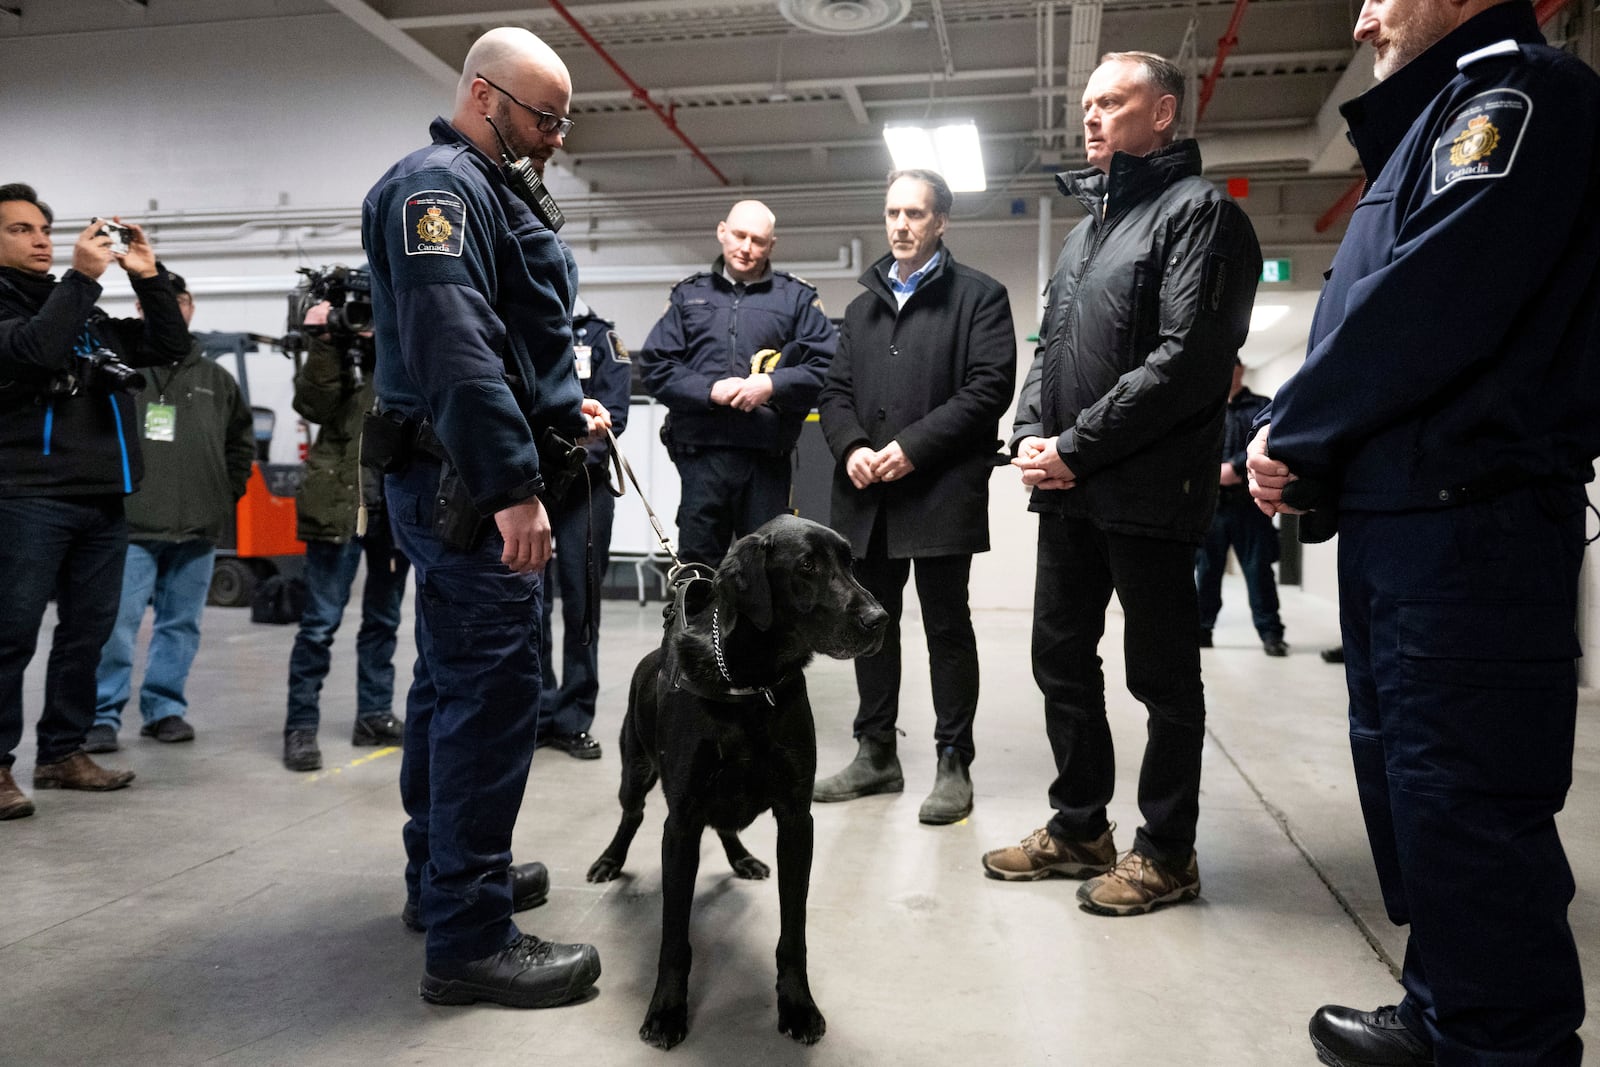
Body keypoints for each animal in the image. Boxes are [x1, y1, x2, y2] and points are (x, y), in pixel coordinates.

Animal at [588, 518, 889, 1049]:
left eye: (850, 562)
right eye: (806, 565)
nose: (880, 618)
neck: (751, 684)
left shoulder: (796, 819)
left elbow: (794, 931)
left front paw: (798, 1005)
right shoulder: (681, 823)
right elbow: (674, 935)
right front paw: (667, 1010)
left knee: (725, 824)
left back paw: (743, 858)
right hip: (635, 770)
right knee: (631, 814)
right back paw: (609, 860)